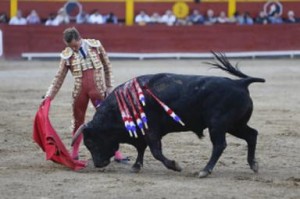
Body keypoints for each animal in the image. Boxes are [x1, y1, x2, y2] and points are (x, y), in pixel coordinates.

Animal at [72, 52, 264, 177]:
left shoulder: (151, 131)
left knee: (220, 145)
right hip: (235, 125)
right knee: (252, 135)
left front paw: (174, 165)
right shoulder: (142, 131)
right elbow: (141, 148)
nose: (98, 164)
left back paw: (205, 170)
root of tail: (240, 83)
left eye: (90, 141)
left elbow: (155, 151)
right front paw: (136, 166)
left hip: (217, 125)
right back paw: (253, 165)